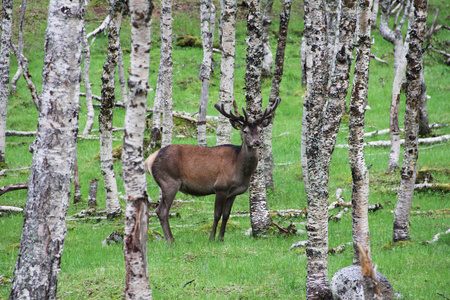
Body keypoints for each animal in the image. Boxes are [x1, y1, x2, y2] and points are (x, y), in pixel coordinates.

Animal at [145, 97, 282, 243]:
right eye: (245, 131)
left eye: (260, 130)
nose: (256, 142)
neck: (240, 168)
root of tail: (150, 159)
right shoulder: (220, 187)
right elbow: (217, 214)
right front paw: (211, 238)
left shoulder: (233, 193)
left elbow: (226, 215)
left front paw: (221, 238)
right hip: (169, 181)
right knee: (161, 210)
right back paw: (171, 240)